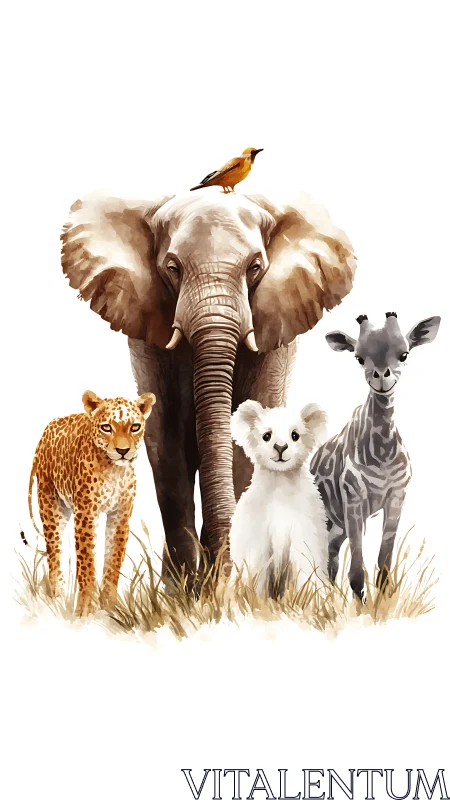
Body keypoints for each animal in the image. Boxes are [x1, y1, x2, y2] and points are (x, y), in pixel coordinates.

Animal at [61, 189, 356, 580]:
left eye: (255, 267)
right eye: (172, 268)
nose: (223, 572)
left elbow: (242, 447)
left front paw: (226, 585)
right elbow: (167, 445)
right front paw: (191, 588)